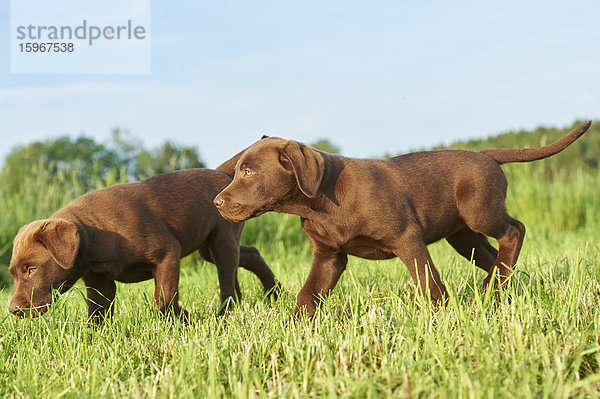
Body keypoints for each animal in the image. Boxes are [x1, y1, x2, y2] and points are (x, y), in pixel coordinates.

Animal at [8, 168, 278, 322]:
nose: (13, 310)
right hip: (209, 247)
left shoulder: (167, 253)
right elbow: (97, 313)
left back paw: (225, 314)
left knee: (227, 279)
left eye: (31, 269)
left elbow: (165, 298)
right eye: (13, 273)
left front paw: (183, 319)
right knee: (249, 255)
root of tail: (224, 174)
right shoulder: (99, 280)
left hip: (222, 239)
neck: (92, 237)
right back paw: (273, 293)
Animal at [213, 122, 592, 316]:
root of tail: (485, 154)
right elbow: (307, 294)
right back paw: (498, 289)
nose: (217, 202)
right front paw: (298, 326)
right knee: (495, 255)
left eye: (248, 172)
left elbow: (429, 284)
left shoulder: (407, 238)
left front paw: (441, 318)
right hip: (464, 236)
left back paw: (493, 288)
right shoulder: (329, 256)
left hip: (480, 212)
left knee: (515, 230)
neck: (319, 204)